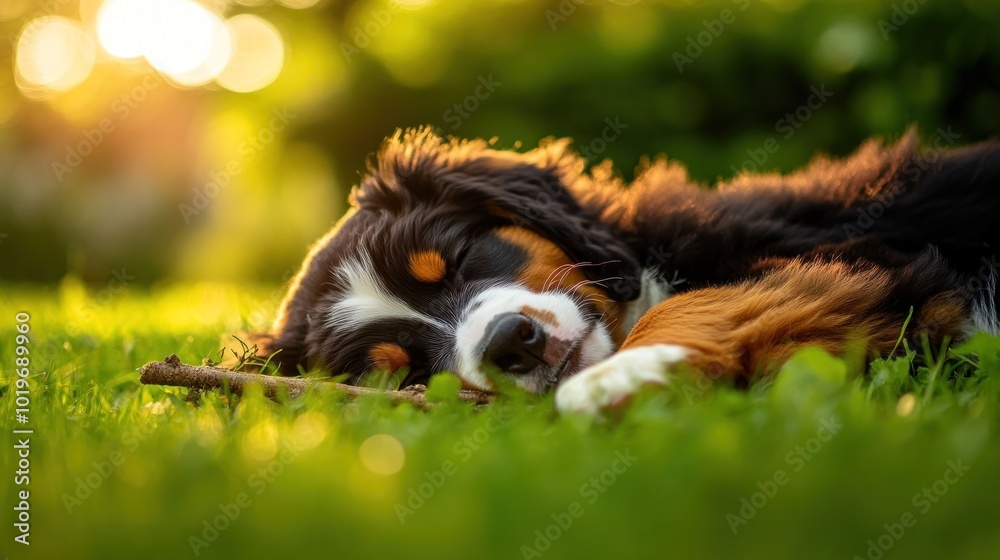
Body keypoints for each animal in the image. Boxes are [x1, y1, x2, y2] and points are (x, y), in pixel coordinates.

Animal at [242, 128, 1000, 416]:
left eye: (459, 259)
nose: (510, 343)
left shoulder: (848, 252)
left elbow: (691, 303)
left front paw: (617, 376)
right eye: (398, 374)